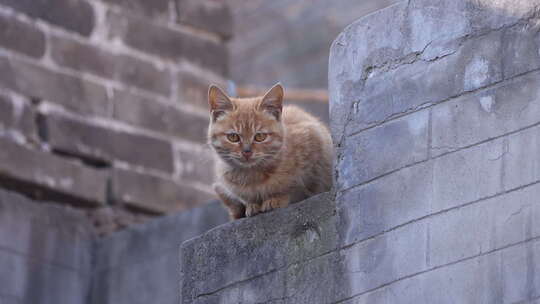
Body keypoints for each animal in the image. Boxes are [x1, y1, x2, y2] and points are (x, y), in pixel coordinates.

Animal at [208, 84, 332, 220]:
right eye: (233, 137)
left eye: (260, 136)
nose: (247, 152)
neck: (252, 177)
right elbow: (246, 199)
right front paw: (252, 205)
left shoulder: (315, 141)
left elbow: (296, 188)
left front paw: (277, 199)